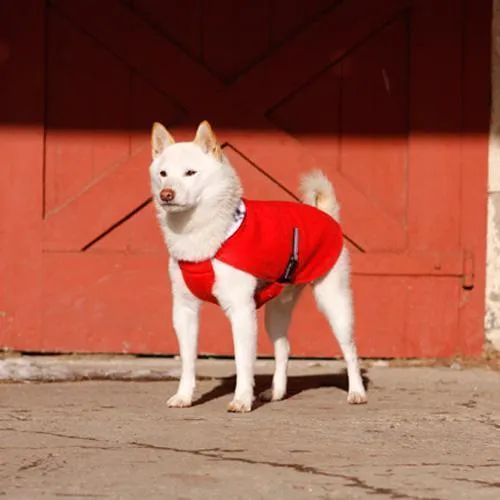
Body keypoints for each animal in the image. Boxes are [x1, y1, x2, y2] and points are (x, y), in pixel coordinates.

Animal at [150, 119, 366, 412]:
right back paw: (276, 392)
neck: (204, 235)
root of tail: (327, 216)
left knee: (350, 350)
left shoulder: (241, 311)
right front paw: (184, 396)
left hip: (333, 302)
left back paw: (357, 392)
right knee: (283, 348)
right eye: (163, 174)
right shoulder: (185, 310)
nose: (166, 194)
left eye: (190, 172)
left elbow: (243, 362)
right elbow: (188, 361)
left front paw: (241, 399)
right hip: (277, 309)